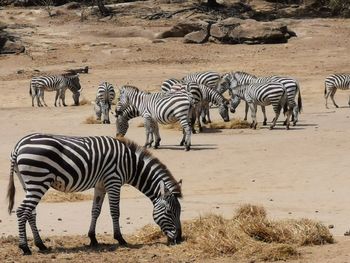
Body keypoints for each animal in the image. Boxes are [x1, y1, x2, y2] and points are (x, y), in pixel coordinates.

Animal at [6, 134, 183, 256]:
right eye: (169, 212)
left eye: (179, 212)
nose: (179, 239)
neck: (130, 164)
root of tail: (18, 146)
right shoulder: (113, 181)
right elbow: (115, 211)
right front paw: (120, 239)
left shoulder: (100, 186)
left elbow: (95, 211)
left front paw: (93, 239)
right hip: (38, 181)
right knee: (22, 211)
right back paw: (25, 248)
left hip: (29, 183)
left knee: (30, 213)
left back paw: (41, 245)